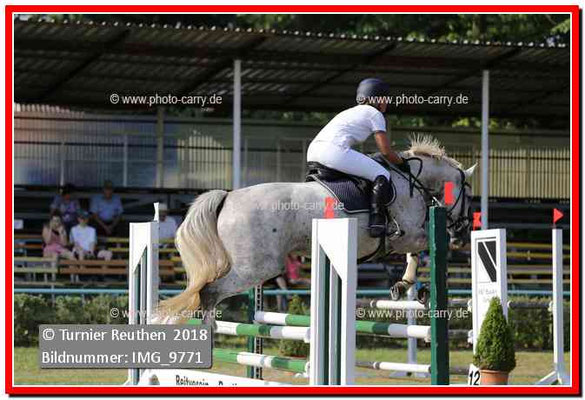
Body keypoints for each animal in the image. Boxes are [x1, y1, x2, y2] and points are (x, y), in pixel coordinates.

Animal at [160, 135, 475, 323]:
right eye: (469, 194)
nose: (461, 234)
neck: (411, 180)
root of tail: (228, 197)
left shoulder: (406, 238)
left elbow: (415, 256)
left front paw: (402, 286)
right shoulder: (407, 235)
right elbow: (423, 251)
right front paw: (418, 289)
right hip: (258, 266)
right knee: (208, 291)